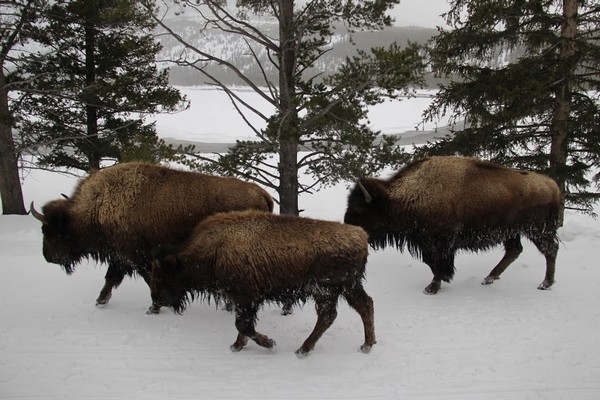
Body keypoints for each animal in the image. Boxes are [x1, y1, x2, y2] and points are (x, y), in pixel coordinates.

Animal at [31, 162, 276, 312]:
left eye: (48, 230)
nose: (47, 257)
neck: (98, 206)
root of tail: (260, 192)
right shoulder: (121, 256)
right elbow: (112, 277)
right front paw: (101, 300)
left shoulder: (135, 255)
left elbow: (145, 278)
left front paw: (156, 305)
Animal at [150, 211, 376, 358]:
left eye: (162, 276)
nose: (158, 300)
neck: (213, 249)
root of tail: (361, 235)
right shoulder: (243, 300)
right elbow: (243, 325)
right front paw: (236, 346)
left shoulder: (246, 297)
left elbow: (244, 324)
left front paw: (269, 344)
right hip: (348, 287)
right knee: (365, 305)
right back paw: (367, 345)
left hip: (325, 290)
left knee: (329, 316)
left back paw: (302, 350)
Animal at [344, 155, 560, 294]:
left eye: (359, 209)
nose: (349, 227)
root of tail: (552, 185)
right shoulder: (427, 242)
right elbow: (431, 262)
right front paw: (442, 280)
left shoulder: (440, 243)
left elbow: (438, 263)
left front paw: (432, 287)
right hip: (512, 232)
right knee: (514, 251)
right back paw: (489, 278)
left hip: (537, 230)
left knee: (550, 250)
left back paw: (545, 284)